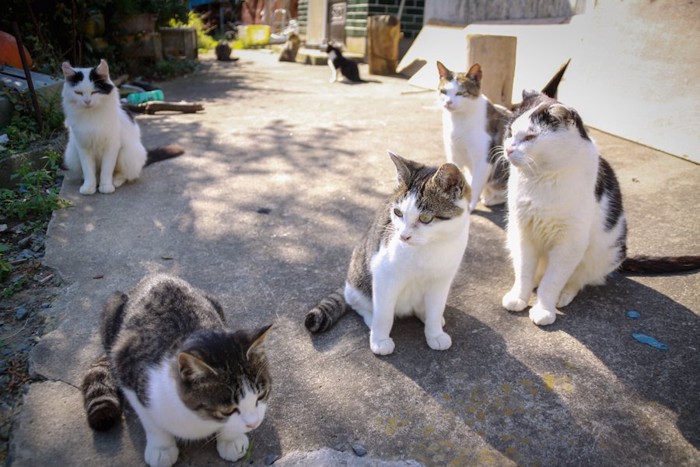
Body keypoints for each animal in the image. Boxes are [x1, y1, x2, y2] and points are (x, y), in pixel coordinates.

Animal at [61, 59, 183, 196]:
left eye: (94, 92)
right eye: (78, 93)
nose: (87, 101)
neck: (91, 116)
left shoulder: (112, 146)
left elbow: (107, 170)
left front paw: (106, 186)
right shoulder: (83, 147)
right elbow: (88, 170)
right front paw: (89, 186)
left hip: (128, 152)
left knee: (126, 174)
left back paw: (116, 181)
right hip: (72, 153)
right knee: (95, 172)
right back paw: (95, 180)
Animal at [80, 274, 270, 467]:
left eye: (261, 395)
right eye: (228, 410)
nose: (254, 424)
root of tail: (157, 276)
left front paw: (231, 439)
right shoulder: (126, 367)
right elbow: (150, 420)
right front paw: (161, 448)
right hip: (112, 309)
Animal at [304, 153, 470, 354]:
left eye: (425, 218)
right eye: (398, 212)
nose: (403, 236)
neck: (427, 248)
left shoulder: (441, 280)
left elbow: (436, 309)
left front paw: (435, 333)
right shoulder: (384, 275)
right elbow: (383, 314)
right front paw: (380, 340)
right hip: (359, 279)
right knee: (359, 303)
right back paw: (371, 320)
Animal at [438, 60, 568, 212]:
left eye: (460, 93)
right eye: (443, 91)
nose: (448, 102)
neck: (458, 121)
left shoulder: (484, 158)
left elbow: (476, 183)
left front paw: (470, 205)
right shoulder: (454, 153)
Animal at [504, 90, 700, 326]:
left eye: (530, 137)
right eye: (509, 132)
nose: (508, 149)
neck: (540, 179)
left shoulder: (570, 242)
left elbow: (553, 281)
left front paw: (544, 309)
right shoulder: (523, 232)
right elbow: (524, 271)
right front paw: (518, 297)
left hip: (607, 251)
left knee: (578, 279)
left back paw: (564, 295)